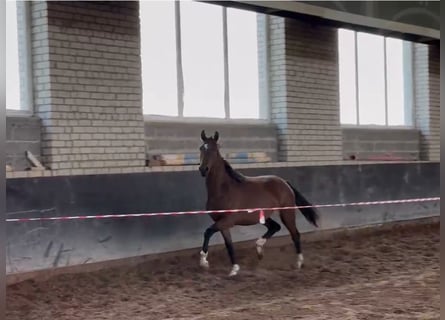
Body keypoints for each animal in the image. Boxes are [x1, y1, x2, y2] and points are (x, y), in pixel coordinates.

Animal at [198, 129, 320, 276]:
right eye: (201, 148)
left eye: (215, 150)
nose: (203, 169)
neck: (223, 190)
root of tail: (284, 182)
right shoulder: (222, 223)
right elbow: (229, 245)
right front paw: (234, 269)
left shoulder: (228, 221)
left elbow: (207, 232)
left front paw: (204, 262)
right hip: (263, 216)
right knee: (275, 227)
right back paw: (259, 248)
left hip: (287, 213)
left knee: (295, 234)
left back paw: (298, 263)